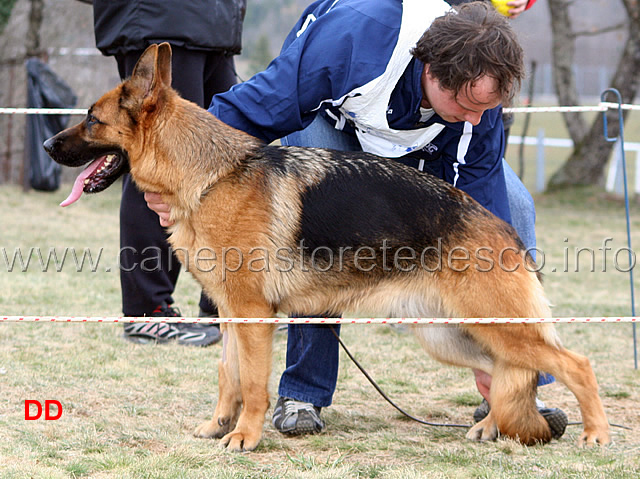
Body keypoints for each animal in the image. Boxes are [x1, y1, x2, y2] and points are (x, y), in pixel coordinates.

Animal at [45, 43, 608, 452]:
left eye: (91, 119)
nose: (49, 145)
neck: (212, 176)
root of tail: (499, 227)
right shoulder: (229, 315)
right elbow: (228, 376)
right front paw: (218, 426)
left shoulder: (254, 317)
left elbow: (253, 385)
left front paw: (246, 437)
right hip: (448, 335)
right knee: (506, 375)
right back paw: (491, 425)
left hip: (497, 326)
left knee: (574, 363)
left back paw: (595, 433)